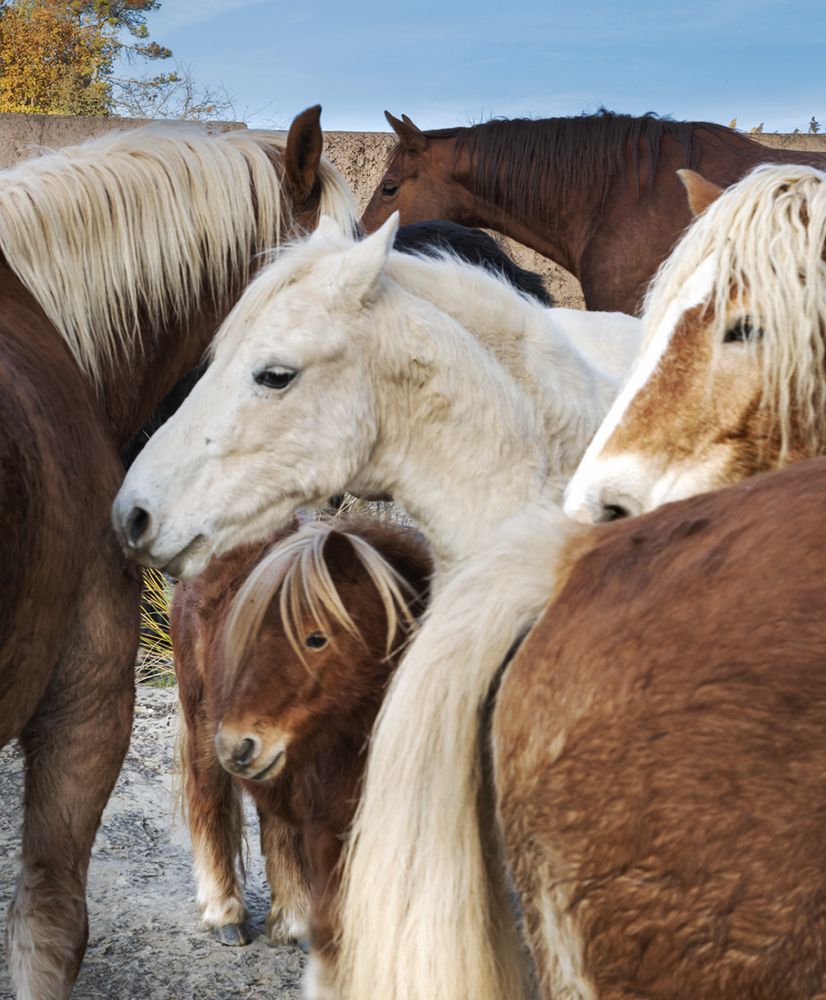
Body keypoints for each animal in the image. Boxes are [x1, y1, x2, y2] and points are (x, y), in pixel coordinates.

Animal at [172, 516, 432, 992]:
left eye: (315, 638)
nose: (240, 742)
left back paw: (292, 920)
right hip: (203, 722)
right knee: (210, 801)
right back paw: (226, 913)